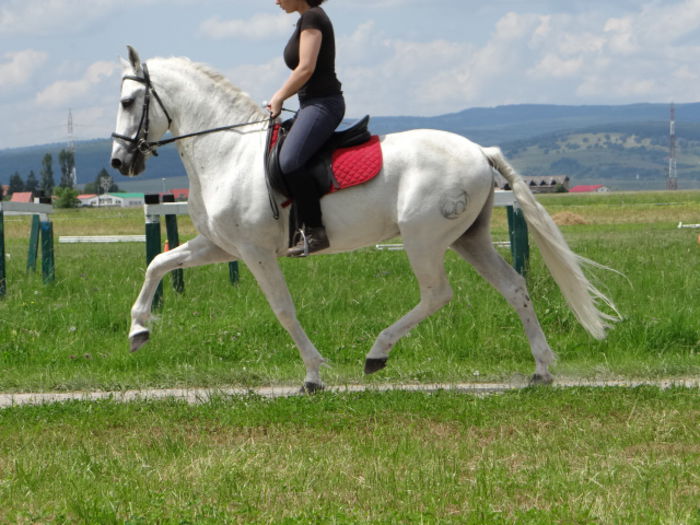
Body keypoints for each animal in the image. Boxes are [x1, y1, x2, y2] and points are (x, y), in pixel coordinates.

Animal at [110, 48, 616, 388]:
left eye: (129, 102)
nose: (119, 162)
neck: (228, 149)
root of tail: (479, 149)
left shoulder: (255, 252)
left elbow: (283, 309)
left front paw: (313, 374)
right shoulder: (220, 246)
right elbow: (158, 263)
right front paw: (138, 330)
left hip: (424, 238)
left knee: (437, 294)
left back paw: (377, 353)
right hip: (468, 238)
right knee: (513, 286)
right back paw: (541, 369)